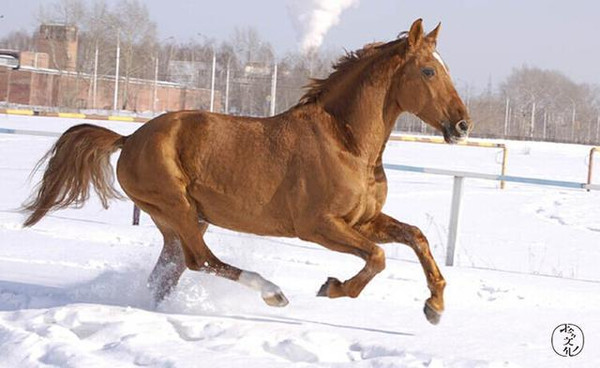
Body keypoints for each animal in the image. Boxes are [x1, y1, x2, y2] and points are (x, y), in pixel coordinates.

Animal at [22, 19, 474, 324]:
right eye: (429, 71)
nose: (462, 125)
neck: (347, 144)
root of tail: (129, 138)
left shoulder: (362, 220)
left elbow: (415, 237)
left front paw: (434, 306)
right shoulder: (318, 225)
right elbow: (378, 257)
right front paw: (332, 288)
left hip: (179, 219)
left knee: (169, 271)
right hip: (177, 207)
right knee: (200, 260)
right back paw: (273, 293)